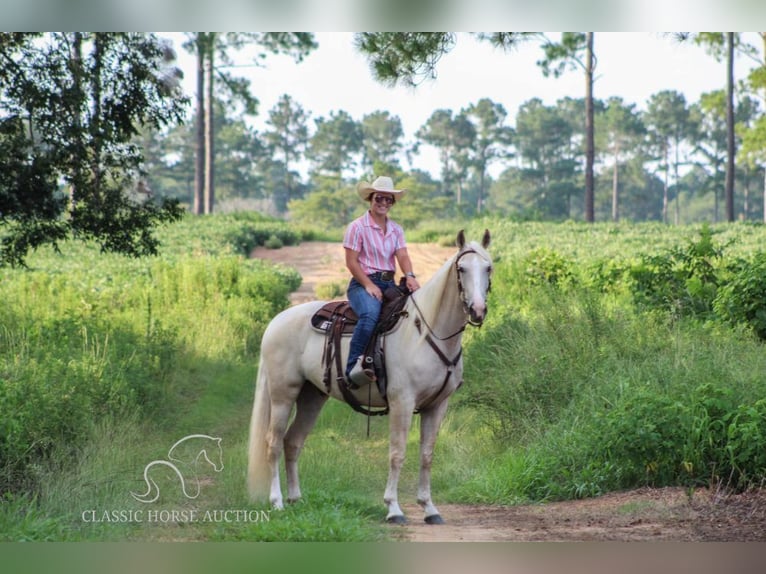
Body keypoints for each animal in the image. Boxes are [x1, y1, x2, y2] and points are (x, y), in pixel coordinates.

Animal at [249, 231, 496, 528]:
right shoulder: (402, 402)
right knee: (273, 443)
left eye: (489, 268)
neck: (426, 332)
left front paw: (429, 509)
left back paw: (296, 499)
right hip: (283, 394)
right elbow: (397, 453)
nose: (478, 310)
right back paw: (277, 502)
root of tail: (276, 321)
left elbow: (426, 456)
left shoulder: (437, 406)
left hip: (311, 397)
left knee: (293, 442)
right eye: (461, 269)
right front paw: (394, 509)